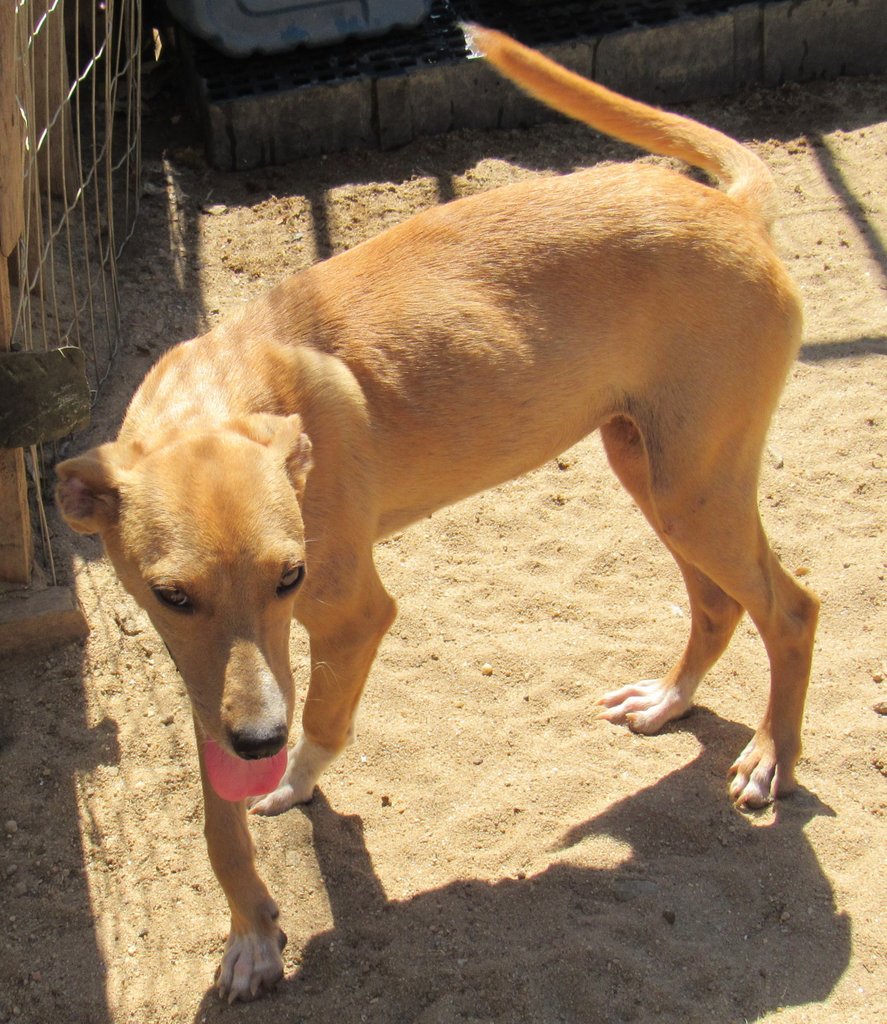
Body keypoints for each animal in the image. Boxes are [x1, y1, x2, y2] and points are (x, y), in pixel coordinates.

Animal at [55, 25, 819, 1002]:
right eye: (170, 595)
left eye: (290, 576)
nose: (258, 741)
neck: (221, 394)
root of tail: (731, 211)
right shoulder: (208, 673)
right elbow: (218, 820)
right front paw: (252, 933)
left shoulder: (348, 616)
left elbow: (321, 723)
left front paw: (291, 783)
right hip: (651, 469)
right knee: (722, 603)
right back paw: (667, 701)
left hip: (694, 486)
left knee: (790, 608)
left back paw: (769, 757)